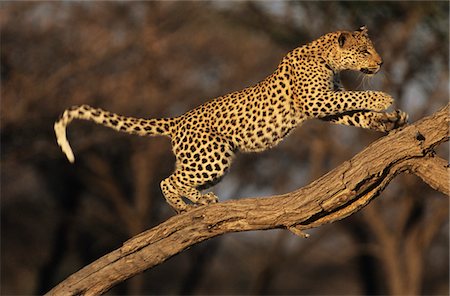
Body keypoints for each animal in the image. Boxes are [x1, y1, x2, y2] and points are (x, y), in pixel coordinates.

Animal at [53, 26, 408, 213]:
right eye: (364, 51)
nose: (381, 62)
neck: (326, 58)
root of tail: (177, 120)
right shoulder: (317, 100)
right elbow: (356, 98)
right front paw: (383, 99)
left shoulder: (326, 106)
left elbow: (357, 114)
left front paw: (389, 121)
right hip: (211, 157)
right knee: (169, 179)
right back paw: (184, 206)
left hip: (211, 160)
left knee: (180, 179)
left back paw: (199, 201)